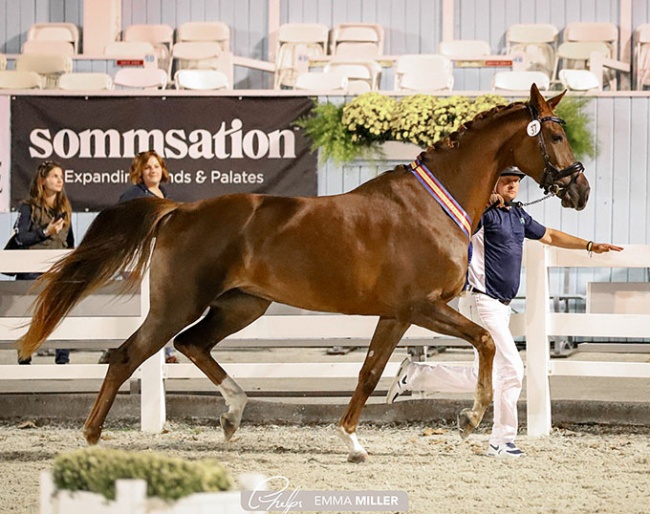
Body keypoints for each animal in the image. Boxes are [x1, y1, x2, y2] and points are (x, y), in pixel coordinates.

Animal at [19, 84, 588, 460]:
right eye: (555, 134)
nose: (580, 190)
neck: (431, 204)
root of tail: (178, 211)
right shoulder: (421, 306)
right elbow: (486, 341)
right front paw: (469, 418)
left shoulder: (395, 314)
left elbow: (369, 372)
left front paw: (352, 440)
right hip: (177, 304)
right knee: (127, 355)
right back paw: (92, 439)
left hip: (243, 304)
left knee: (192, 344)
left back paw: (233, 412)